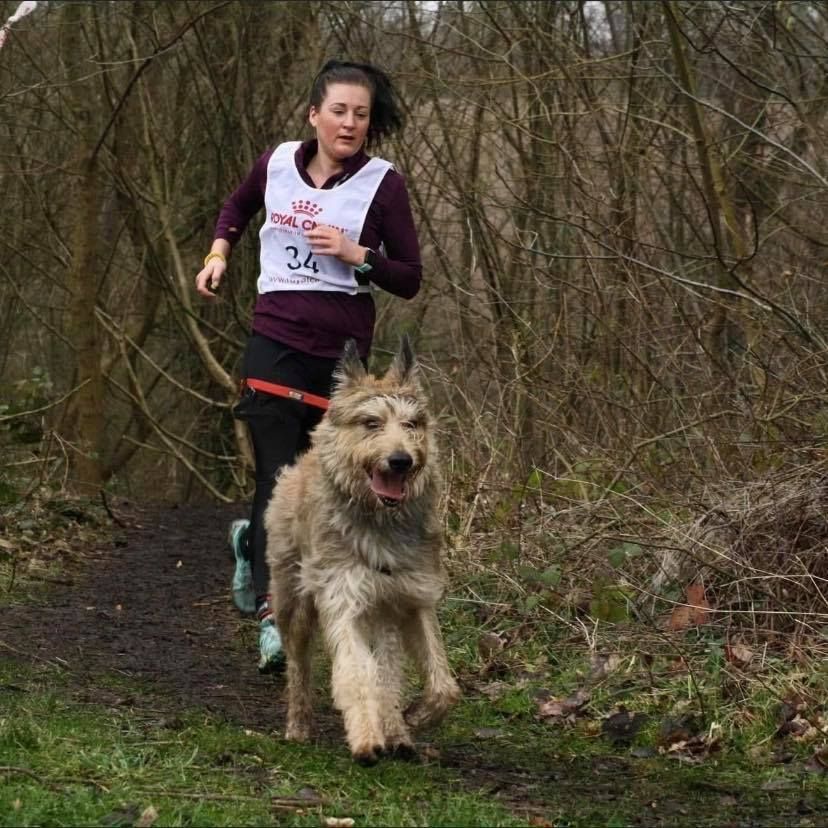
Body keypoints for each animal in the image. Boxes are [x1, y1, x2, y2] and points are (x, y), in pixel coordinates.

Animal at [264, 336, 460, 764]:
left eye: (411, 424)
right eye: (371, 423)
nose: (401, 460)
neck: (379, 521)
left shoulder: (414, 597)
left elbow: (442, 682)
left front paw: (414, 717)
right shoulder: (343, 597)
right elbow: (356, 673)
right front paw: (367, 739)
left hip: (383, 613)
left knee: (386, 668)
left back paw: (397, 731)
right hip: (294, 600)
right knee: (299, 665)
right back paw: (299, 724)